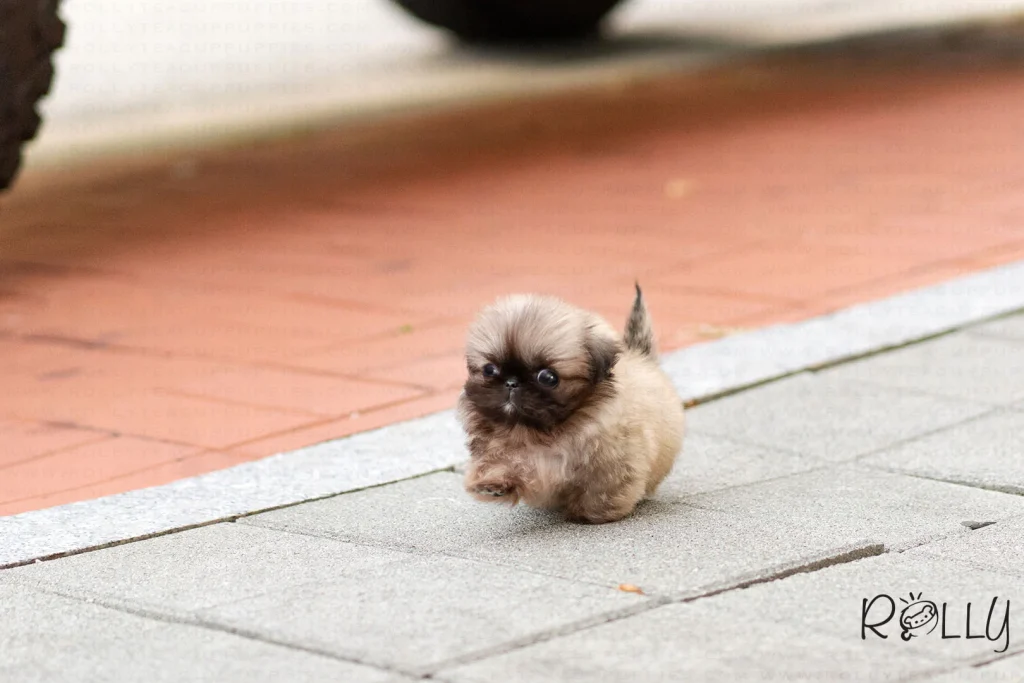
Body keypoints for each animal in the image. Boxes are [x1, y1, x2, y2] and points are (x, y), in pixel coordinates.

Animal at [458, 282, 684, 524]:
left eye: (548, 377)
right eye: (489, 370)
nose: (511, 382)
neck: (543, 432)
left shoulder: (612, 464)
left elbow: (601, 490)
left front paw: (592, 513)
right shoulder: (504, 451)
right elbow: (504, 463)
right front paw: (492, 483)